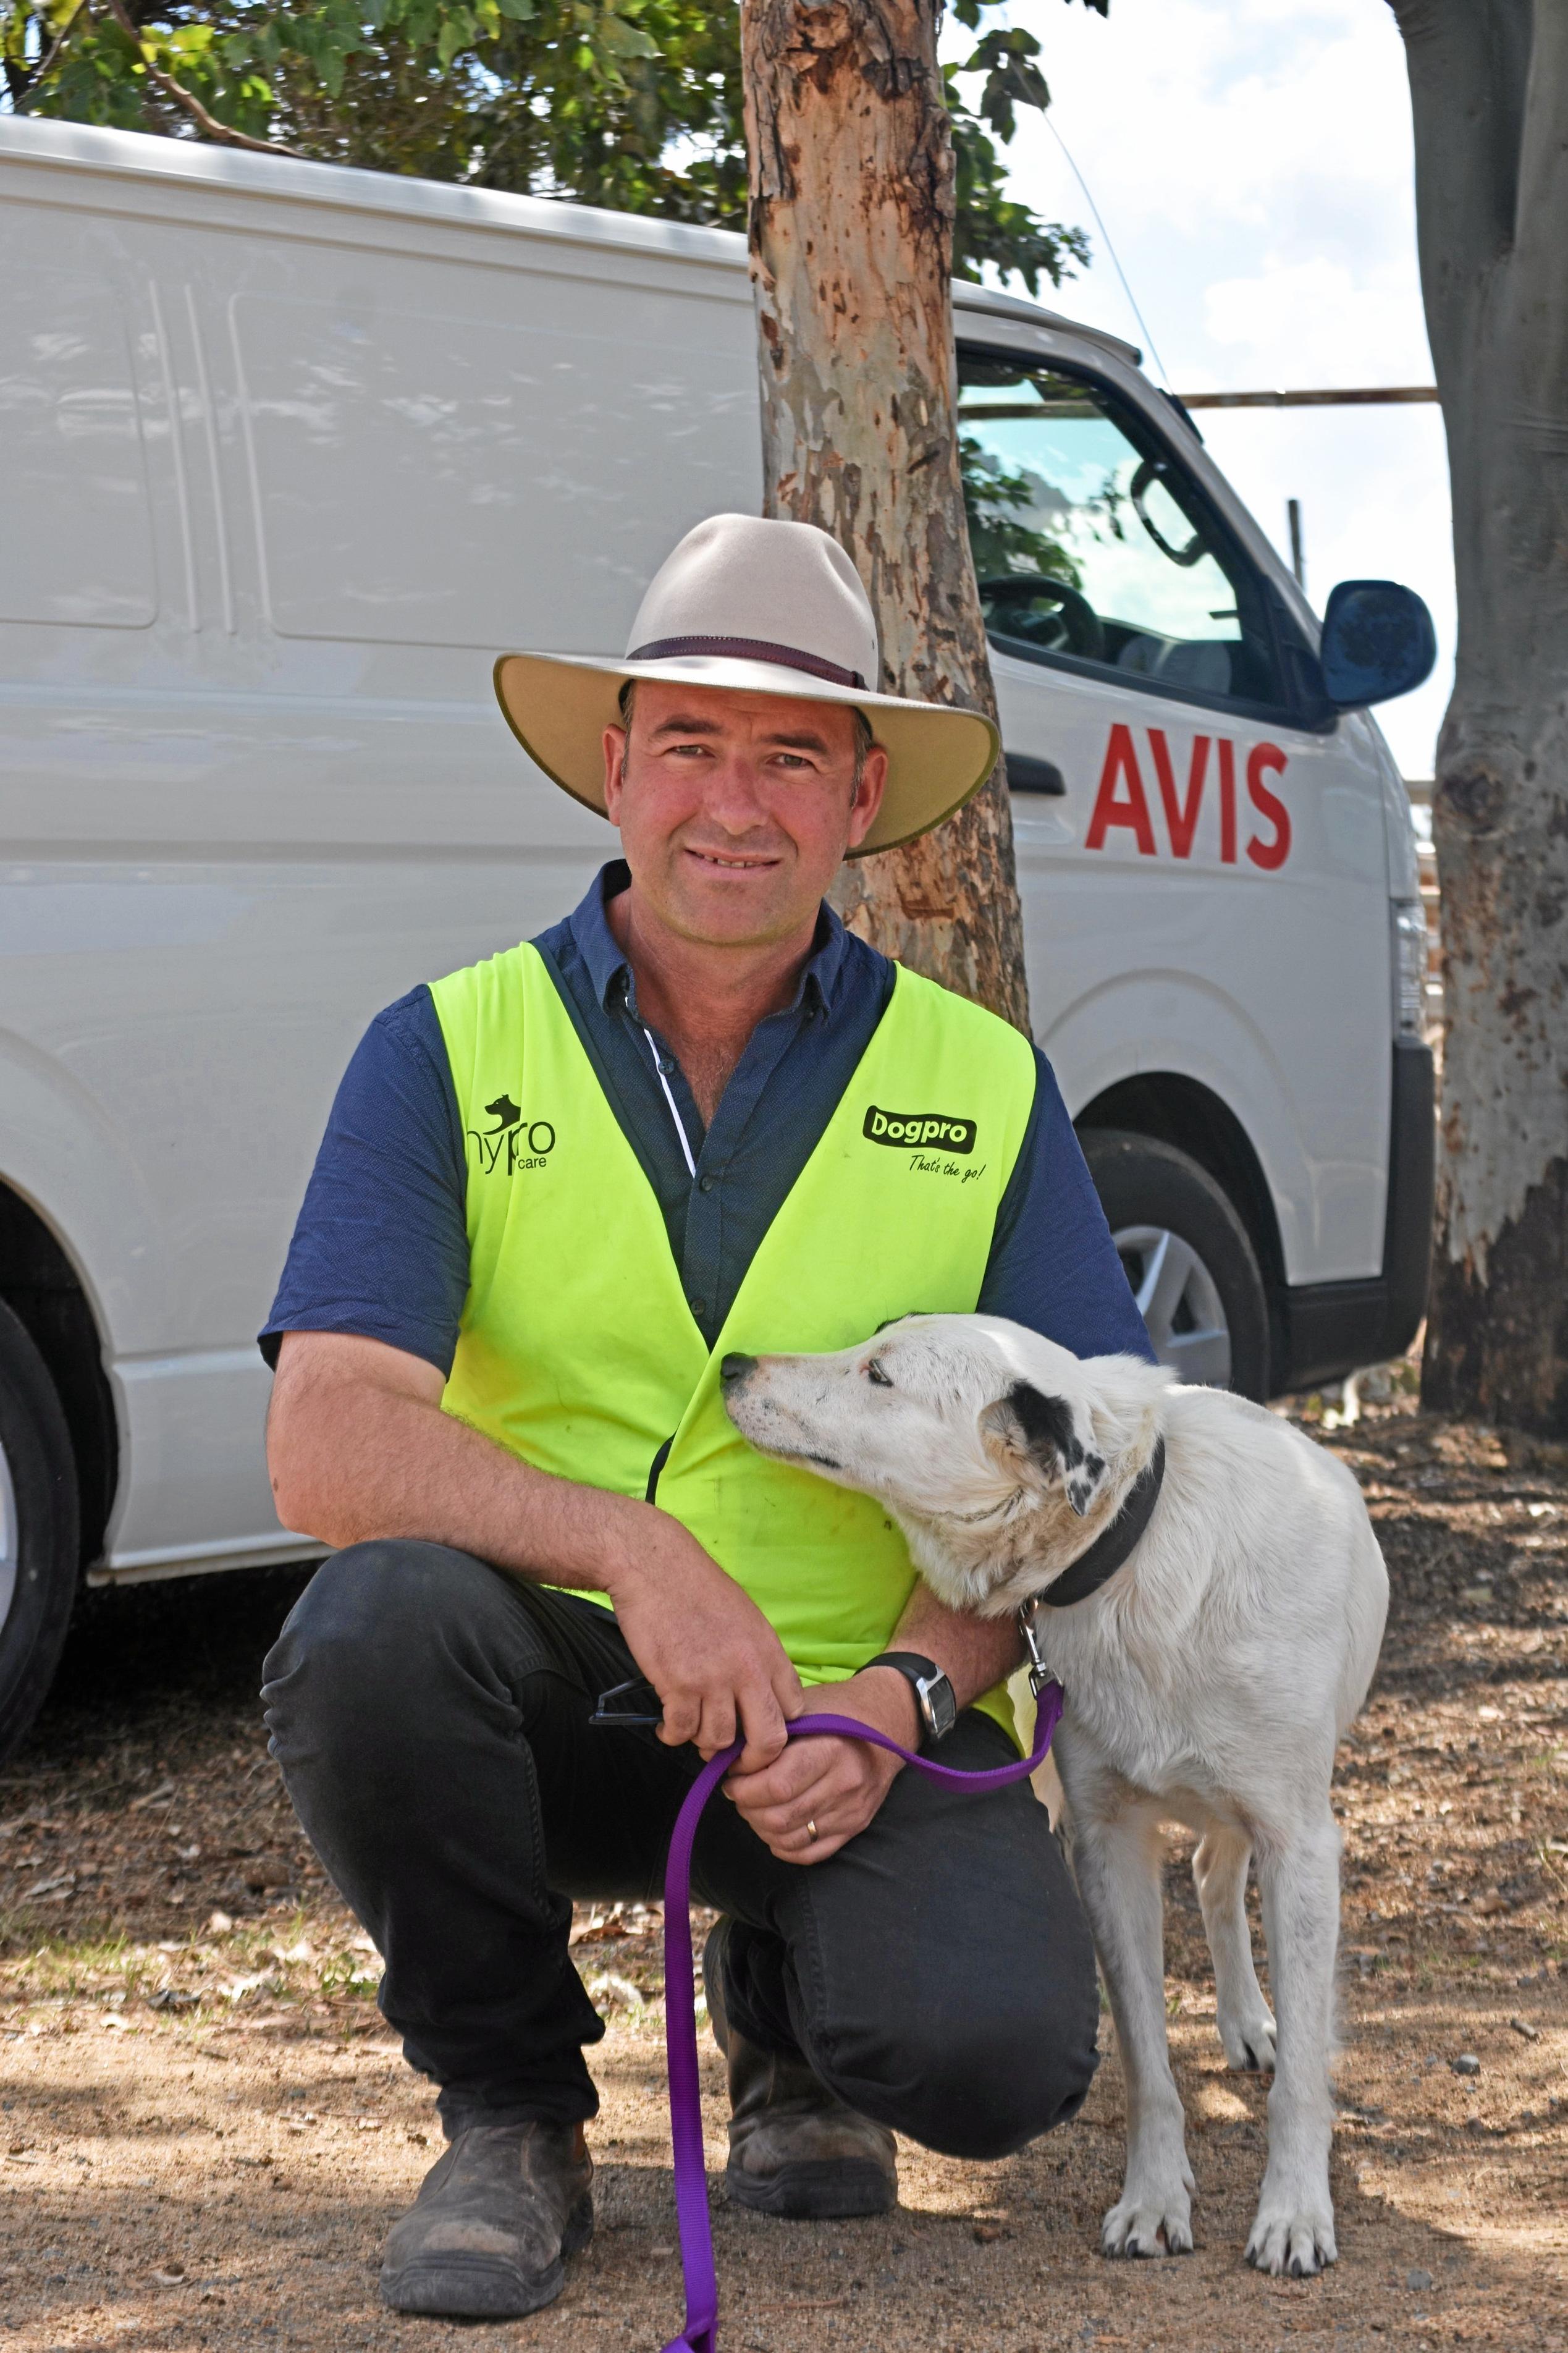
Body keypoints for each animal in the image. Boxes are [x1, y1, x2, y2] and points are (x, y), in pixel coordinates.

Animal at [720, 1317, 1384, 2268]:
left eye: (879, 1375)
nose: (734, 1366)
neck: (1138, 1549)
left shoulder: (1299, 1840)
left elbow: (1302, 2076)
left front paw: (1294, 2212)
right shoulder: (1105, 1842)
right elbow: (1146, 2062)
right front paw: (1153, 2200)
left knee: (1220, 1882)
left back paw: (1252, 2023)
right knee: (1210, 1877)